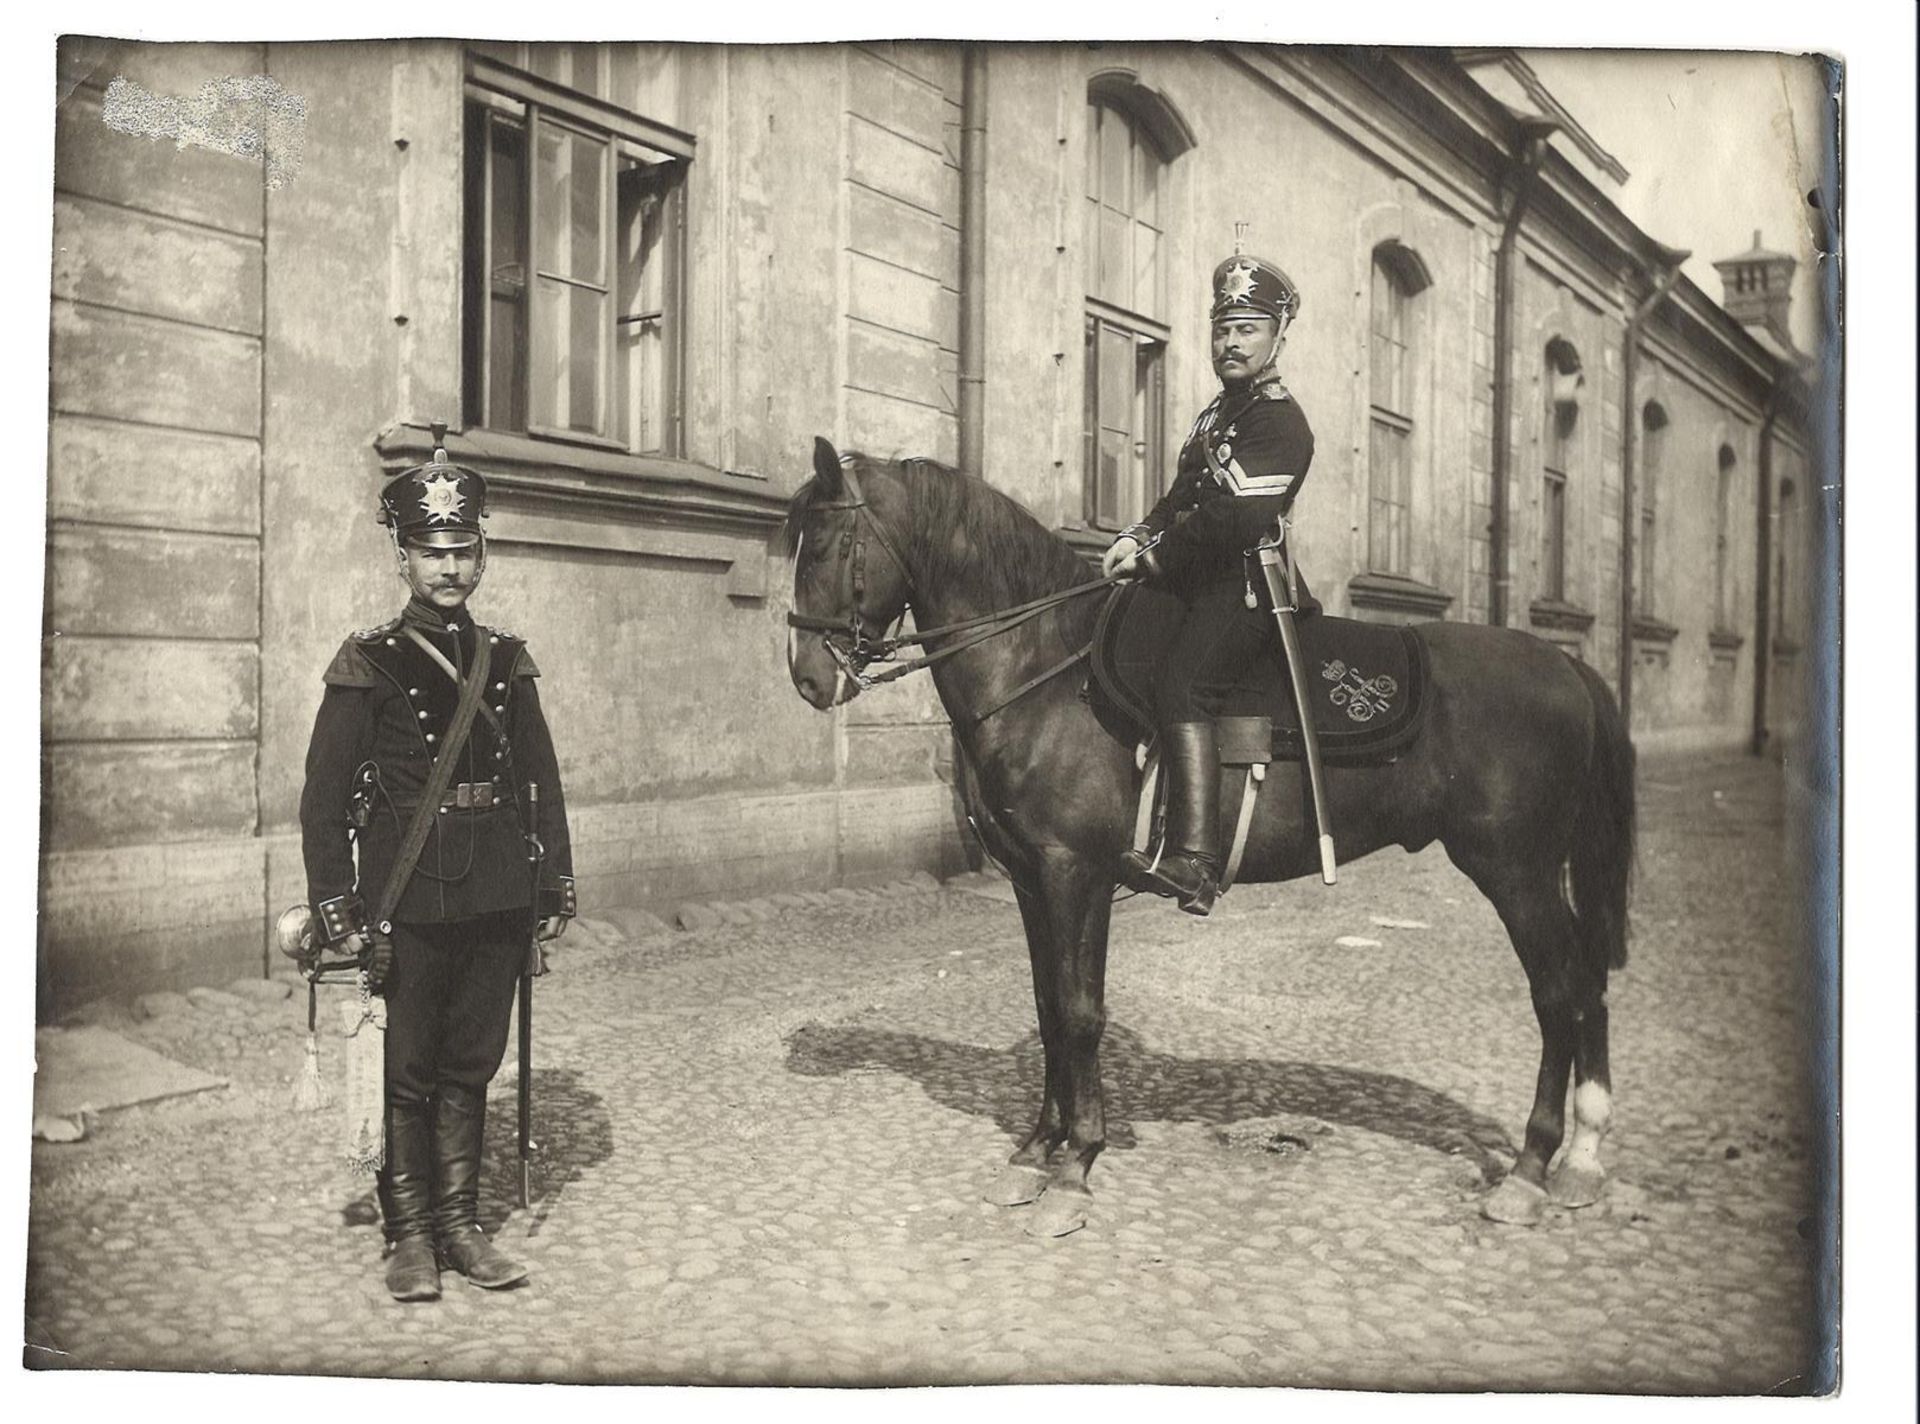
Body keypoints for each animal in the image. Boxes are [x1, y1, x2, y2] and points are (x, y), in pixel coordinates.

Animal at [779, 441, 1635, 1243]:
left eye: (822, 547)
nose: (807, 678)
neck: (1044, 672)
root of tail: (1566, 666)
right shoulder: (1031, 879)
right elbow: (1050, 1006)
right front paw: (1034, 1152)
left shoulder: (1075, 874)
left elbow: (1081, 1013)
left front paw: (1075, 1167)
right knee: (1588, 985)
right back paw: (1584, 1161)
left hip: (1516, 872)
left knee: (1559, 994)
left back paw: (1530, 1171)